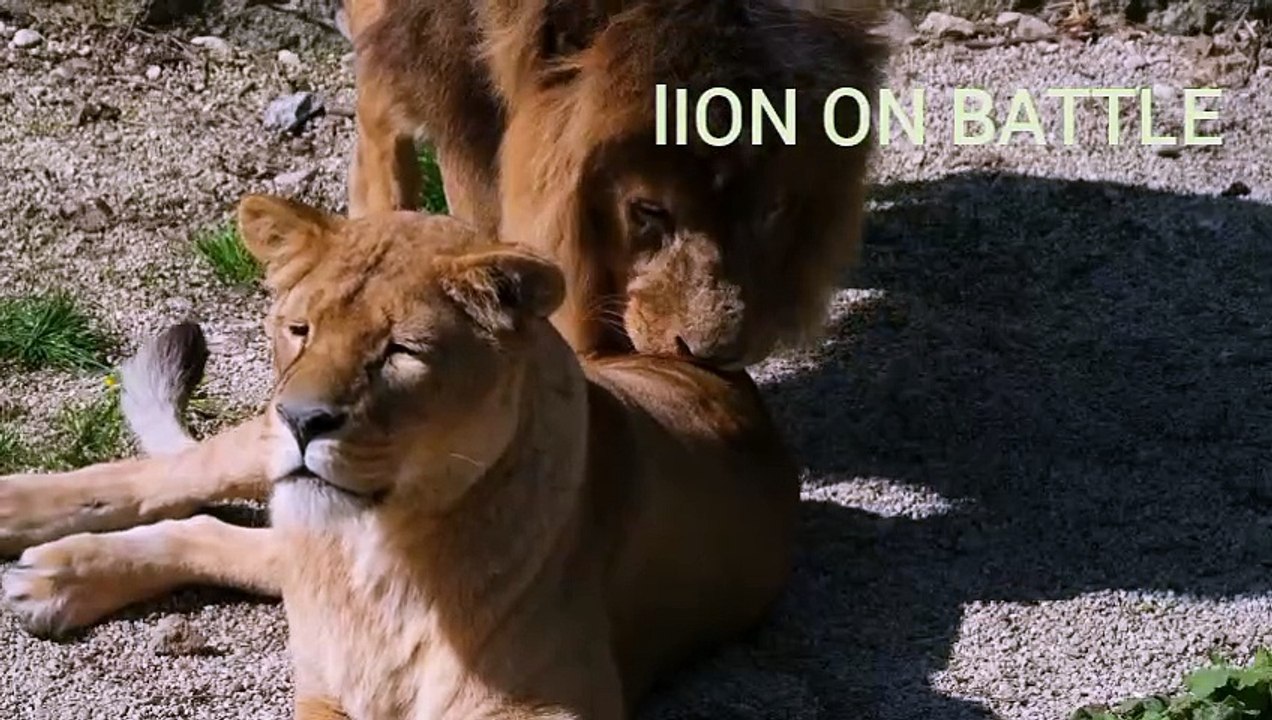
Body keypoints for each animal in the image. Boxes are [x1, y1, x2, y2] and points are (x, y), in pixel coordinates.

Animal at [5, 196, 800, 720]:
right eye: (299, 329)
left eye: (400, 352)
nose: (301, 420)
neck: (383, 560)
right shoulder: (324, 690)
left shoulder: (559, 703)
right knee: (169, 481)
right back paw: (30, 535)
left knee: (216, 534)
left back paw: (55, 578)